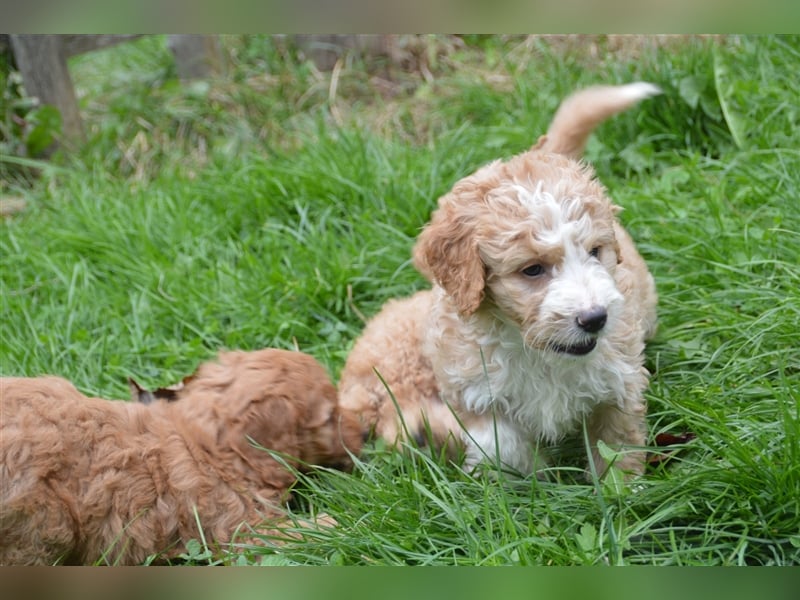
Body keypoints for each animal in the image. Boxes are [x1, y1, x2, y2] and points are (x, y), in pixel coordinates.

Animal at [0, 350, 360, 564]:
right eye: (330, 416)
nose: (364, 435)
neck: (206, 442)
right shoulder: (238, 529)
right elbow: (293, 534)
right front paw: (342, 522)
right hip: (41, 525)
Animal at [340, 83, 660, 478]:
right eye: (532, 270)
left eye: (595, 251)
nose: (595, 318)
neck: (536, 351)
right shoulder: (474, 391)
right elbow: (503, 444)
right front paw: (536, 479)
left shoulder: (620, 382)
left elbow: (617, 447)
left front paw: (622, 489)